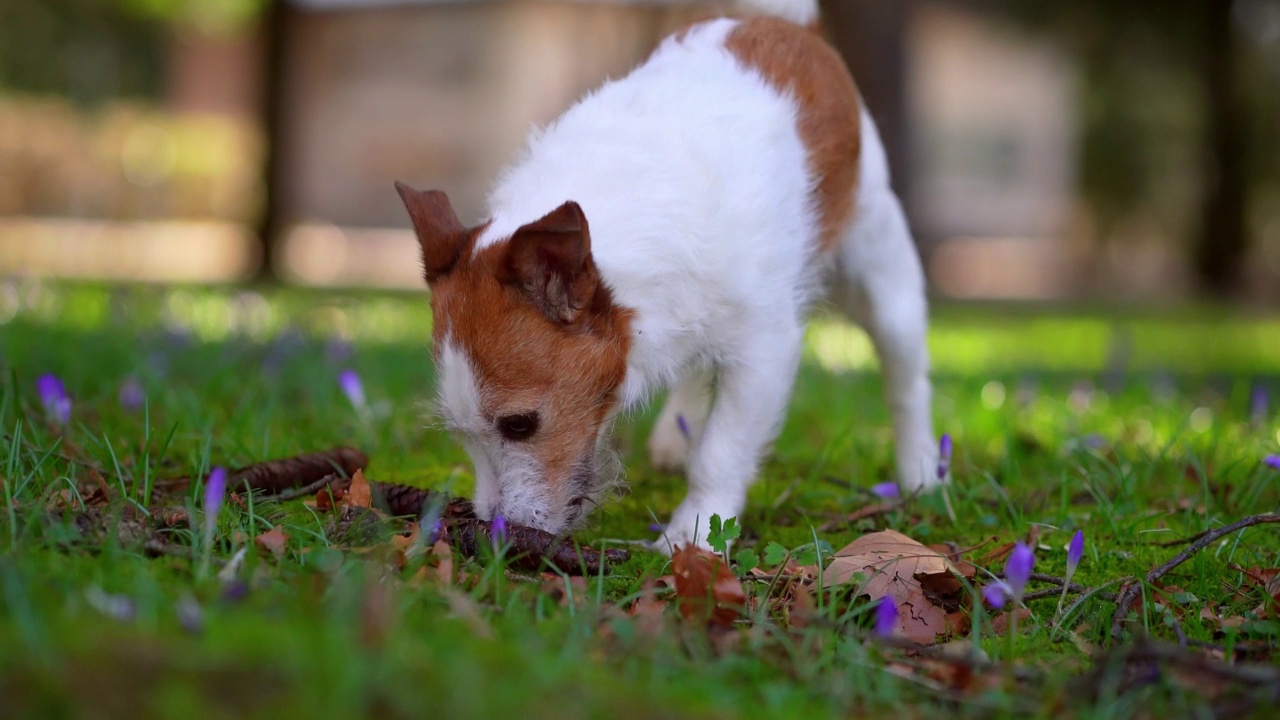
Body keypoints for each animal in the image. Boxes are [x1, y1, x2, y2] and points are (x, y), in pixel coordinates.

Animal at [399, 0, 942, 548]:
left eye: (519, 425)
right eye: (459, 432)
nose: (496, 533)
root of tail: (784, 24)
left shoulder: (763, 350)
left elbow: (721, 451)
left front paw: (695, 532)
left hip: (880, 269)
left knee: (906, 378)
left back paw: (921, 468)